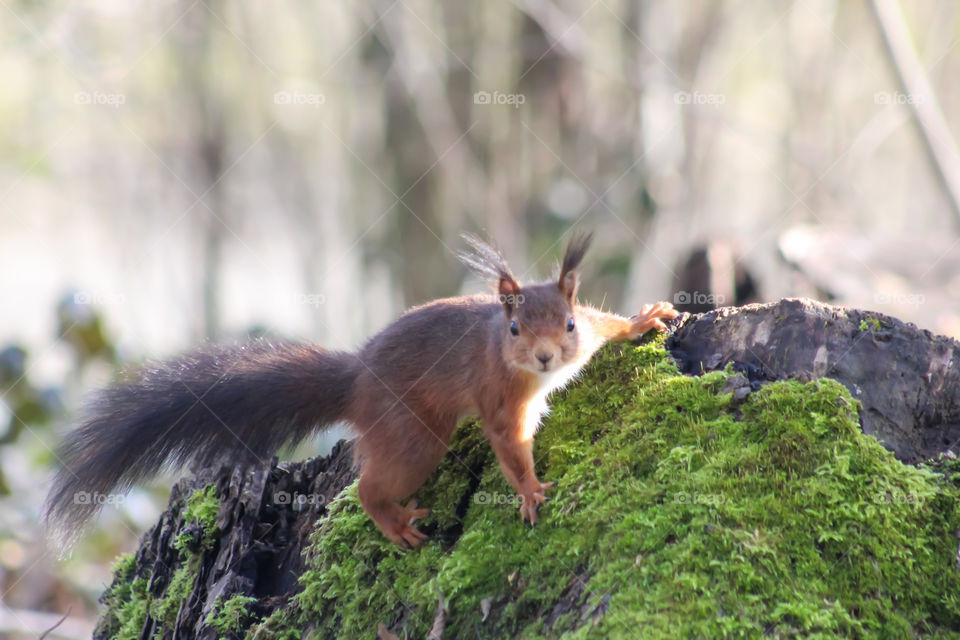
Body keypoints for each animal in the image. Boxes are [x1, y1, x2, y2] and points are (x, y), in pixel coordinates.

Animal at [44, 232, 678, 547]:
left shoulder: (589, 332)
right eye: (516, 330)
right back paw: (395, 523)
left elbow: (610, 325)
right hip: (415, 435)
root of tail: (359, 379)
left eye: (568, 324)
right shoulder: (499, 395)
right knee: (371, 487)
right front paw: (528, 491)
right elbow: (509, 445)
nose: (547, 356)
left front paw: (645, 318)